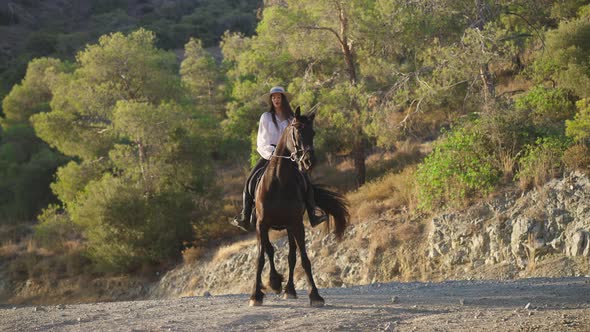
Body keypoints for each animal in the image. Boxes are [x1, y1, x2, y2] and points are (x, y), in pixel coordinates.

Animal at [249, 107, 350, 308]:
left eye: (313, 133)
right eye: (296, 131)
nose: (309, 161)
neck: (278, 182)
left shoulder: (296, 224)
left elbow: (303, 258)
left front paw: (315, 296)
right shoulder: (261, 224)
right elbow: (260, 257)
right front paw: (256, 295)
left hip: (288, 227)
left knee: (291, 256)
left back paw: (289, 289)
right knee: (270, 251)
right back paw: (274, 282)